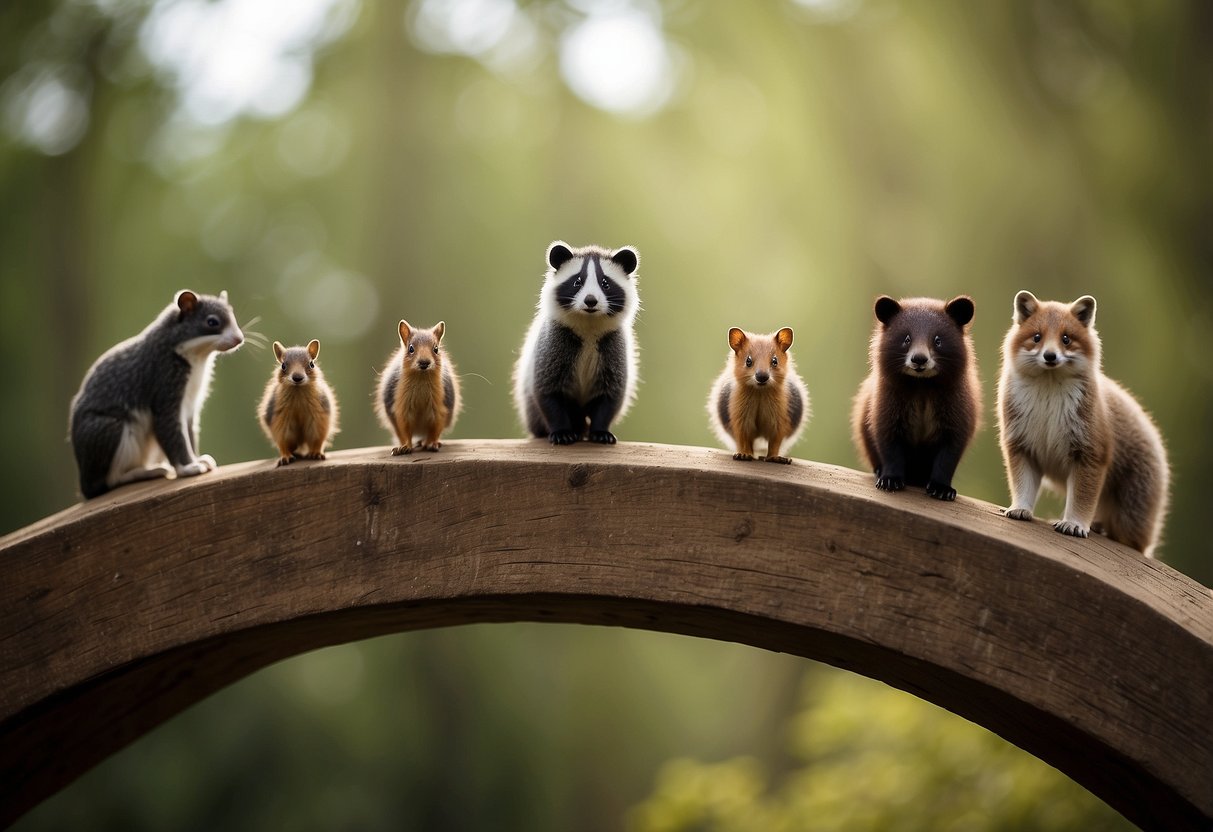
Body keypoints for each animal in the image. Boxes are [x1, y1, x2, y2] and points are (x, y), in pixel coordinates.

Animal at [258, 339, 339, 470]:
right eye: (283, 365)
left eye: (312, 364)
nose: (297, 377)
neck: (298, 392)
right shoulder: (280, 419)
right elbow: (283, 441)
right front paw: (285, 456)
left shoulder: (318, 418)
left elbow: (317, 438)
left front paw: (316, 452)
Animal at [371, 320, 460, 456]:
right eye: (411, 348)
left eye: (436, 349)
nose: (424, 362)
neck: (421, 381)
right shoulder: (402, 409)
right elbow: (404, 430)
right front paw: (405, 446)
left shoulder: (439, 408)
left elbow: (436, 428)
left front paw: (432, 443)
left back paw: (424, 442)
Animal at [708, 327, 810, 470]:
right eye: (748, 361)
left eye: (775, 361)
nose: (762, 376)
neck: (759, 393)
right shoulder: (740, 420)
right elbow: (744, 440)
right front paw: (744, 454)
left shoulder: (779, 422)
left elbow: (774, 443)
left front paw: (775, 458)